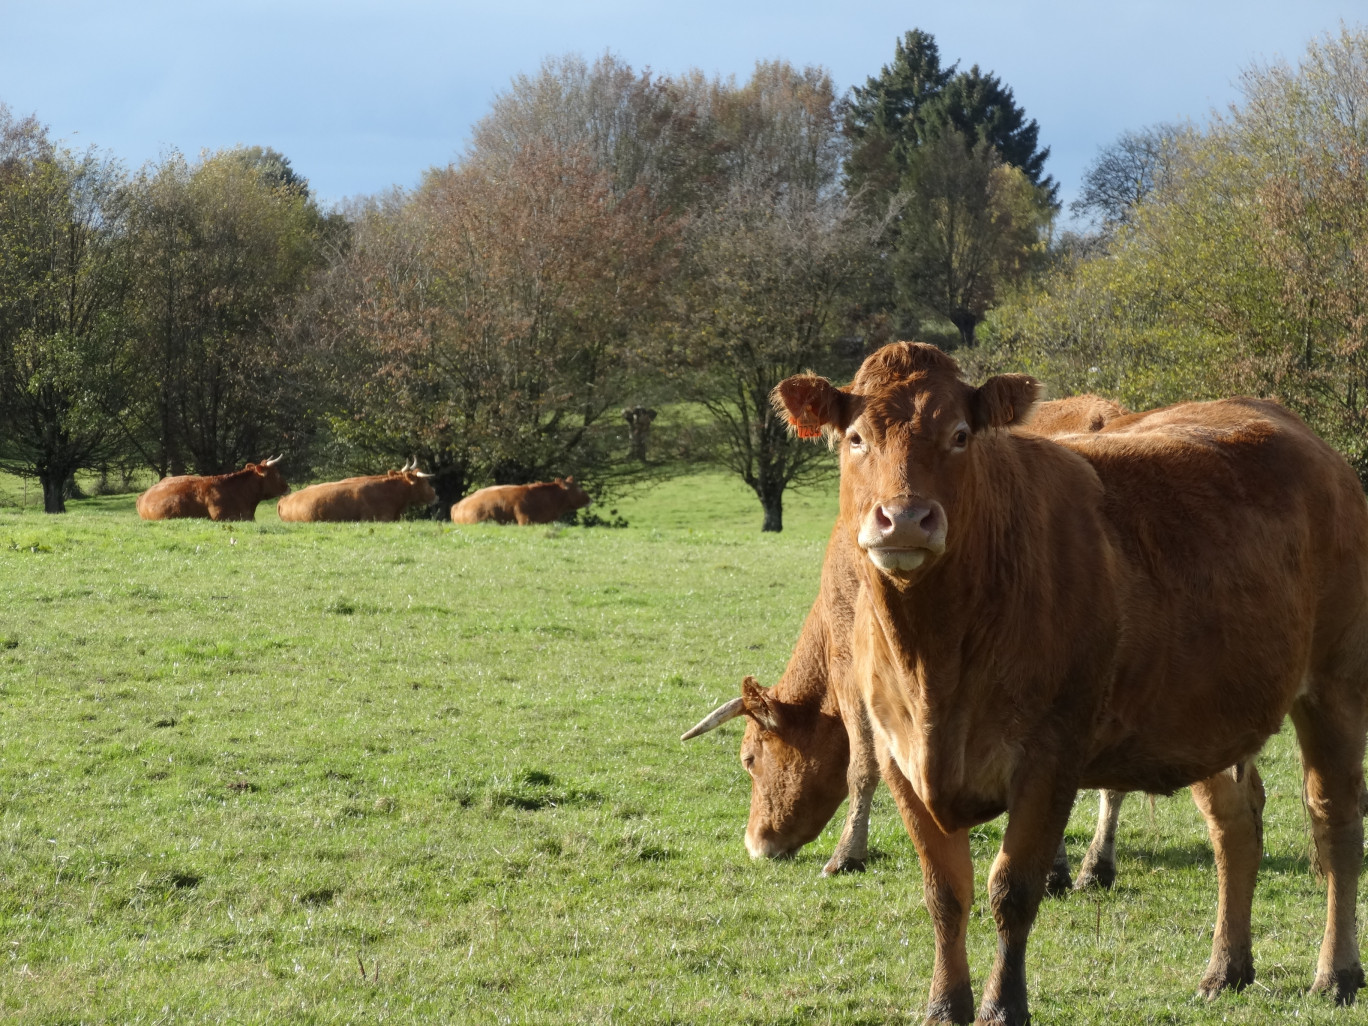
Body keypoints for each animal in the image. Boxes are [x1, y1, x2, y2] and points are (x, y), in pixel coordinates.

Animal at [771, 342, 1368, 1023]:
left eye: (959, 435)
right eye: (856, 437)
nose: (905, 519)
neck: (935, 659)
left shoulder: (1050, 757)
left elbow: (1012, 889)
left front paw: (1004, 1004)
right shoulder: (901, 759)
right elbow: (945, 893)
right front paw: (944, 1003)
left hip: (1336, 684)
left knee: (1336, 823)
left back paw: (1337, 972)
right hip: (1205, 714)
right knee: (1235, 824)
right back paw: (1226, 969)